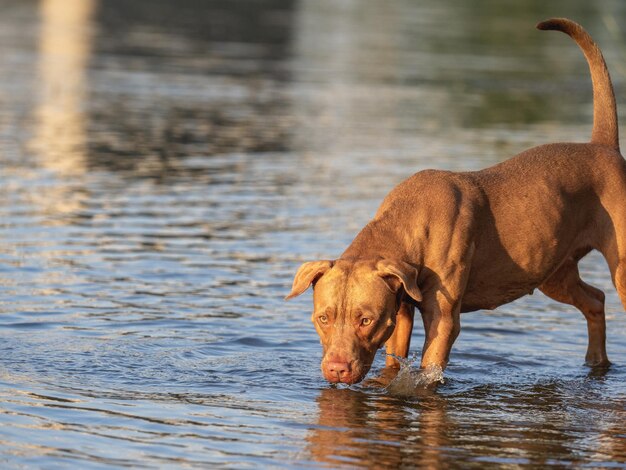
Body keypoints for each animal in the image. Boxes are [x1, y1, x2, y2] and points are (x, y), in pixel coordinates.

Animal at [286, 19, 620, 386]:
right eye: (323, 318)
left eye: (365, 319)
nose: (336, 368)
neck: (408, 223)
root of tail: (603, 147)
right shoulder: (401, 307)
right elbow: (394, 359)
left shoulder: (442, 317)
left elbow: (430, 363)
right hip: (554, 272)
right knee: (595, 299)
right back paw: (596, 363)